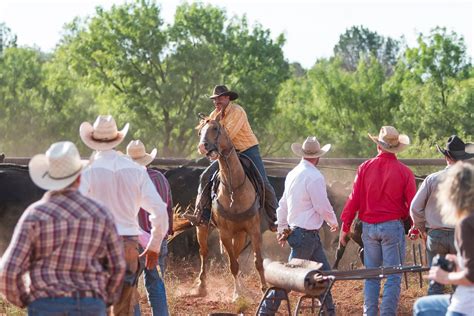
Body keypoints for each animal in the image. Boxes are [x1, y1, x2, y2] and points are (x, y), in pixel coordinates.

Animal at [192, 116, 266, 302]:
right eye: (200, 132)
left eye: (215, 128)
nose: (203, 146)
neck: (234, 189)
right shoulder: (225, 232)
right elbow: (233, 265)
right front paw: (237, 294)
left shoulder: (253, 230)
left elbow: (258, 262)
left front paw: (264, 290)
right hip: (202, 228)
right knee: (204, 252)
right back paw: (201, 286)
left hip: (239, 234)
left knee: (235, 254)